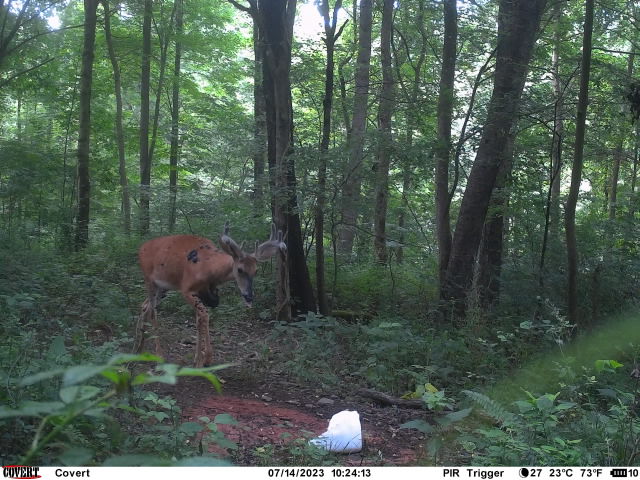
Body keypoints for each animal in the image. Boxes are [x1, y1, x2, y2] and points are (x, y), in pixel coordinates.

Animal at [135, 222, 286, 367]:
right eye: (240, 269)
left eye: (256, 271)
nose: (249, 296)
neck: (209, 268)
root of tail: (140, 248)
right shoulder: (186, 289)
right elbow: (205, 316)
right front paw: (205, 359)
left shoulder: (207, 293)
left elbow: (199, 320)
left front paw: (197, 358)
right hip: (149, 280)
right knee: (153, 312)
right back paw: (158, 355)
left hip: (163, 287)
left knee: (145, 305)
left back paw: (138, 347)